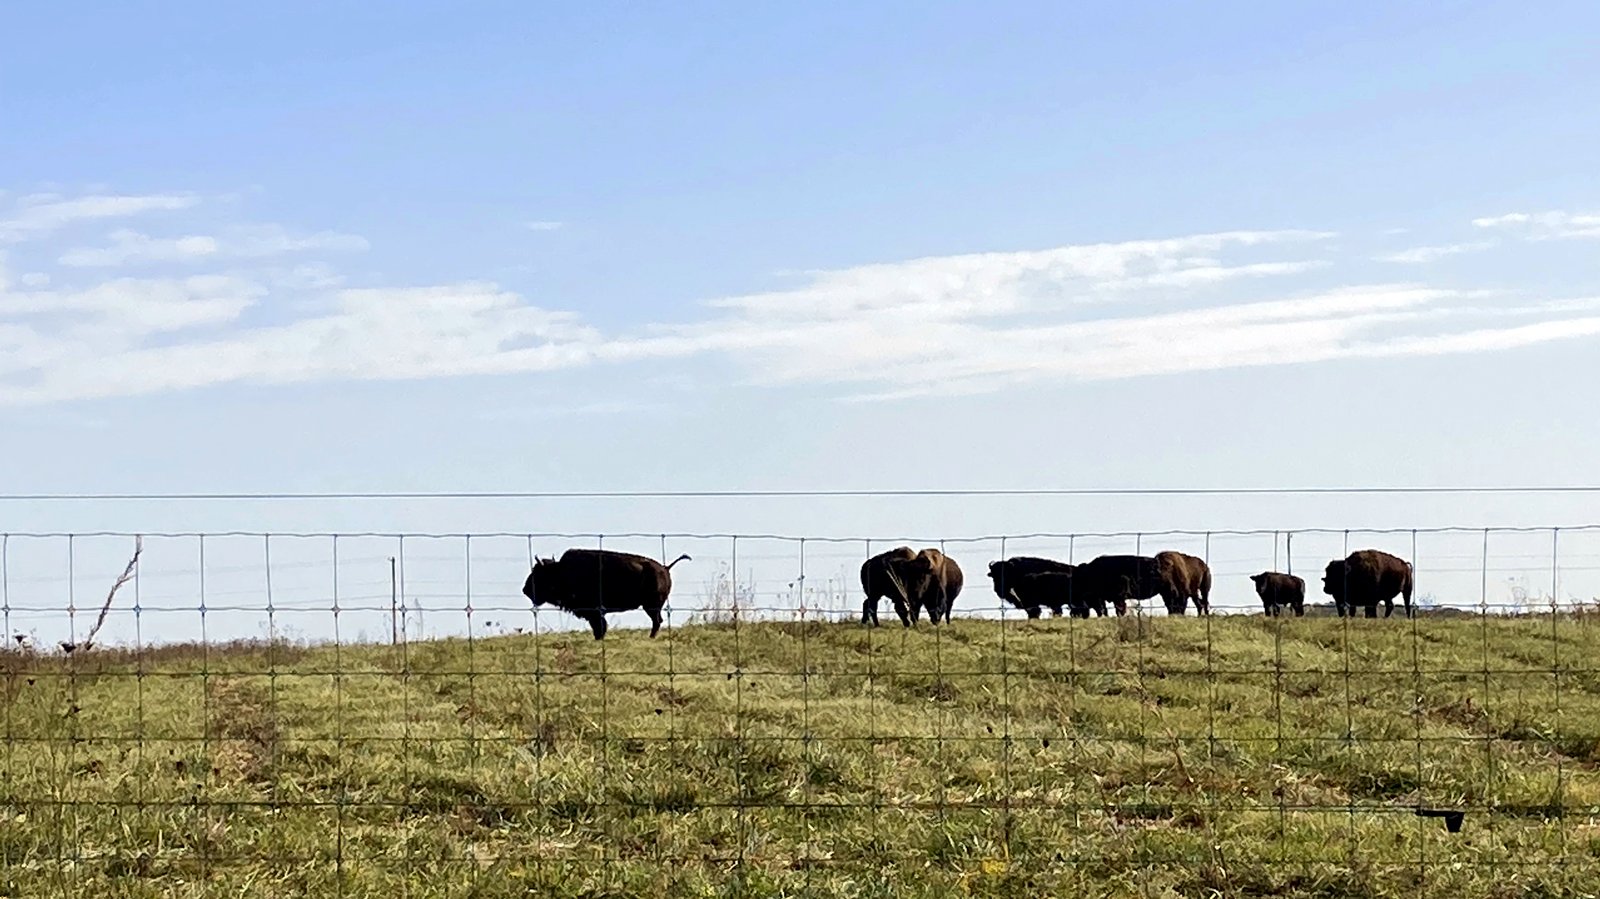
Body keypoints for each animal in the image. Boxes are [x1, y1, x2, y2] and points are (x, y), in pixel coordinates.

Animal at [522, 548, 690, 640]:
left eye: (538, 573)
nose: (525, 590)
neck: (560, 571)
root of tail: (665, 568)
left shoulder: (594, 612)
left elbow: (600, 627)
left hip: (651, 606)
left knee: (657, 621)